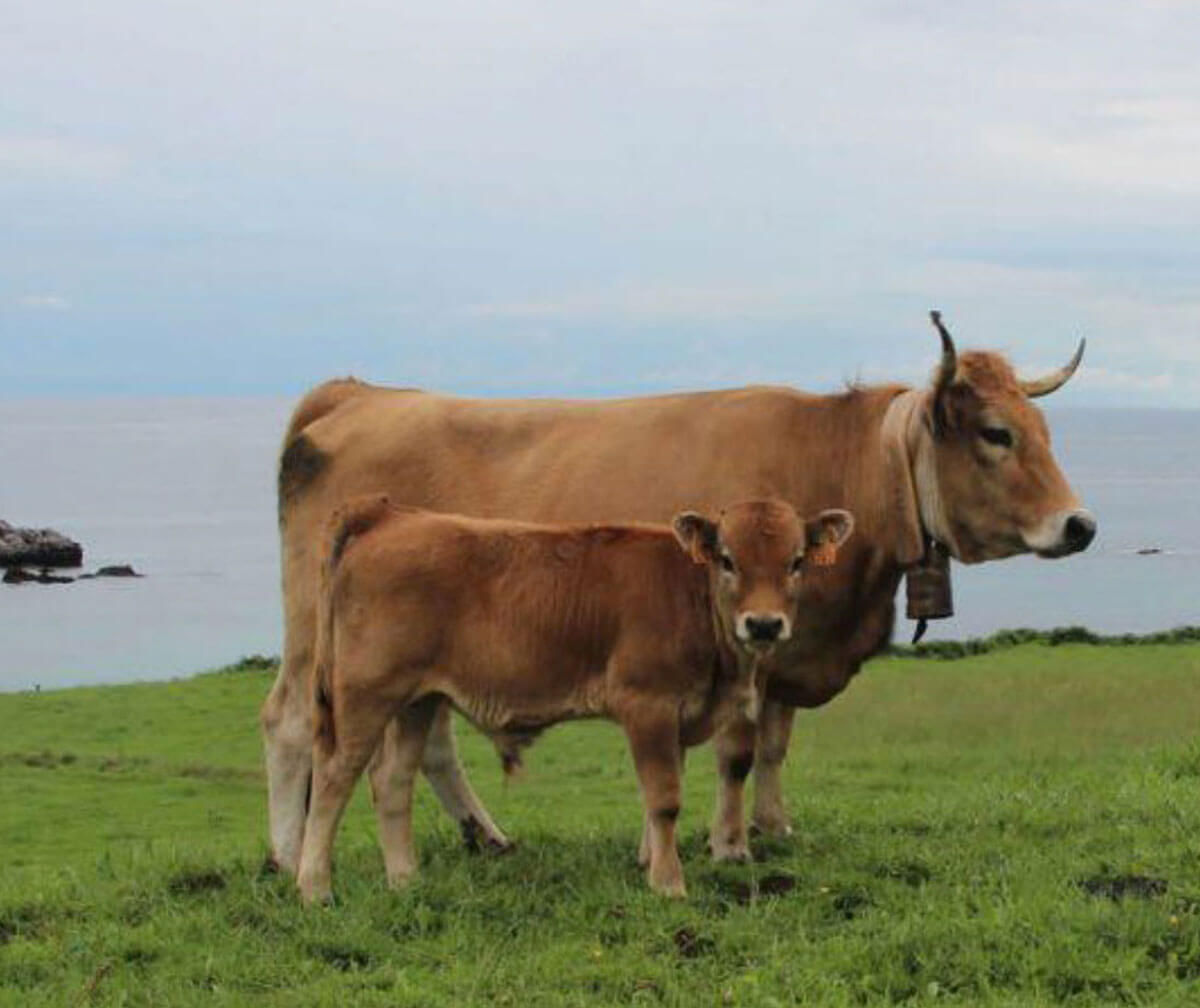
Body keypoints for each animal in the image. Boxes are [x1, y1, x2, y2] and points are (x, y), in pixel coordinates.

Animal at [295, 496, 855, 902]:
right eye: (727, 559)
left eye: (796, 561)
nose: (763, 624)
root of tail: (391, 515)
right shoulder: (647, 705)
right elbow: (665, 798)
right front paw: (669, 883)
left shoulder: (675, 715)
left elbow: (656, 796)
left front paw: (649, 862)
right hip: (365, 697)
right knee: (334, 778)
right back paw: (314, 888)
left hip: (419, 700)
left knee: (392, 783)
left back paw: (404, 881)